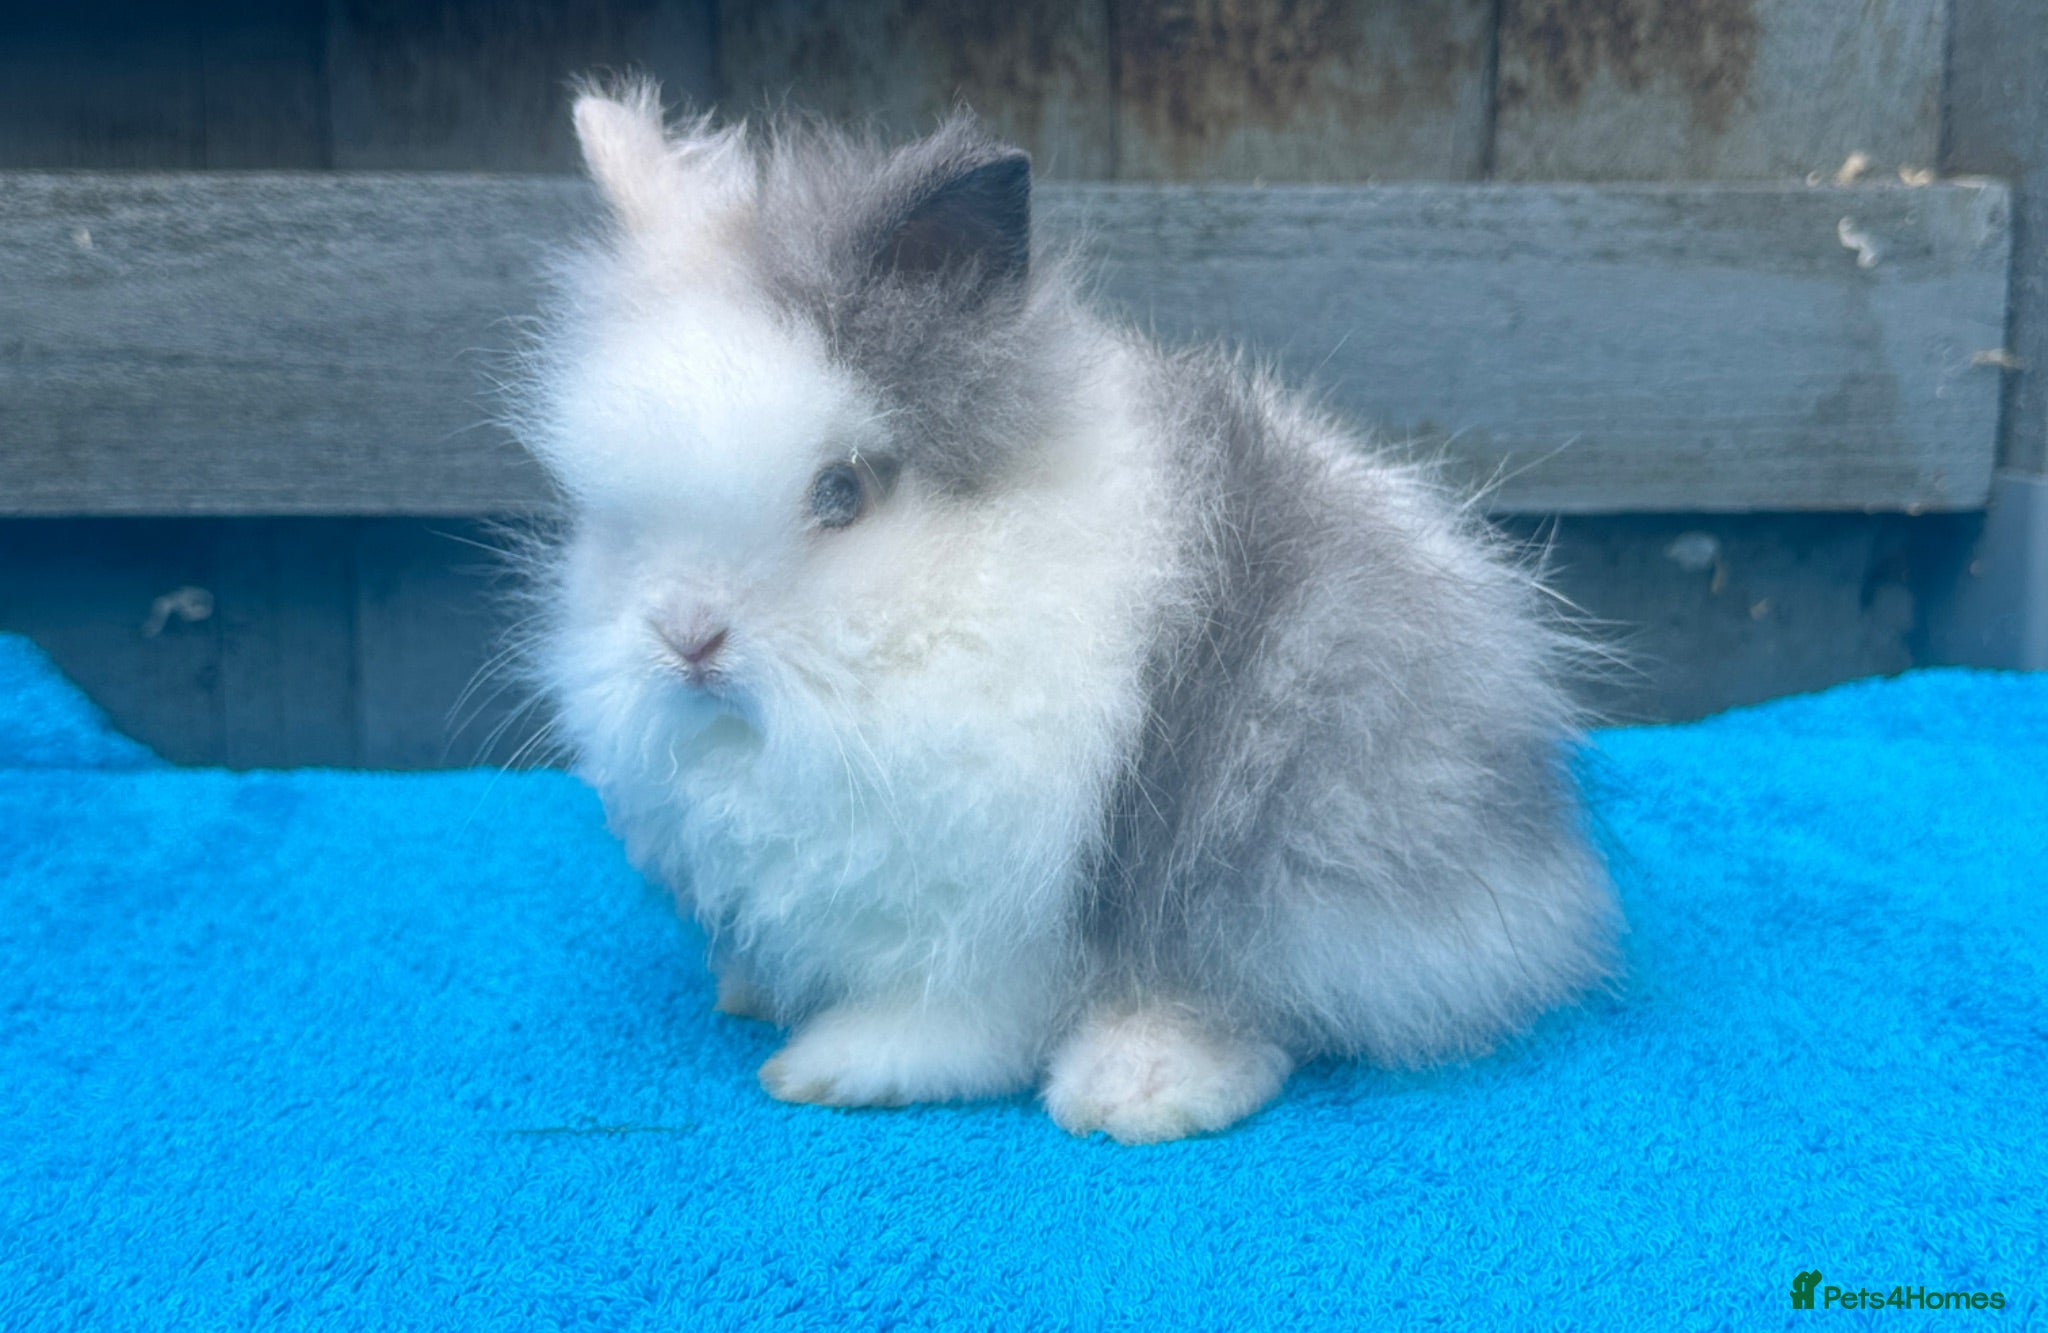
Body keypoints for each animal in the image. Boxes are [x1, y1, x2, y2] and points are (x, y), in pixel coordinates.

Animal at [511, 81, 1621, 1145]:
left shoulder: (988, 912)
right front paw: (751, 988)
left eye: (840, 492)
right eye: (610, 512)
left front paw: (831, 1064)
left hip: (1294, 842)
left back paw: (1134, 1086)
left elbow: (956, 1021)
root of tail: (1544, 859)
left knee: (1256, 1002)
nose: (687, 638)